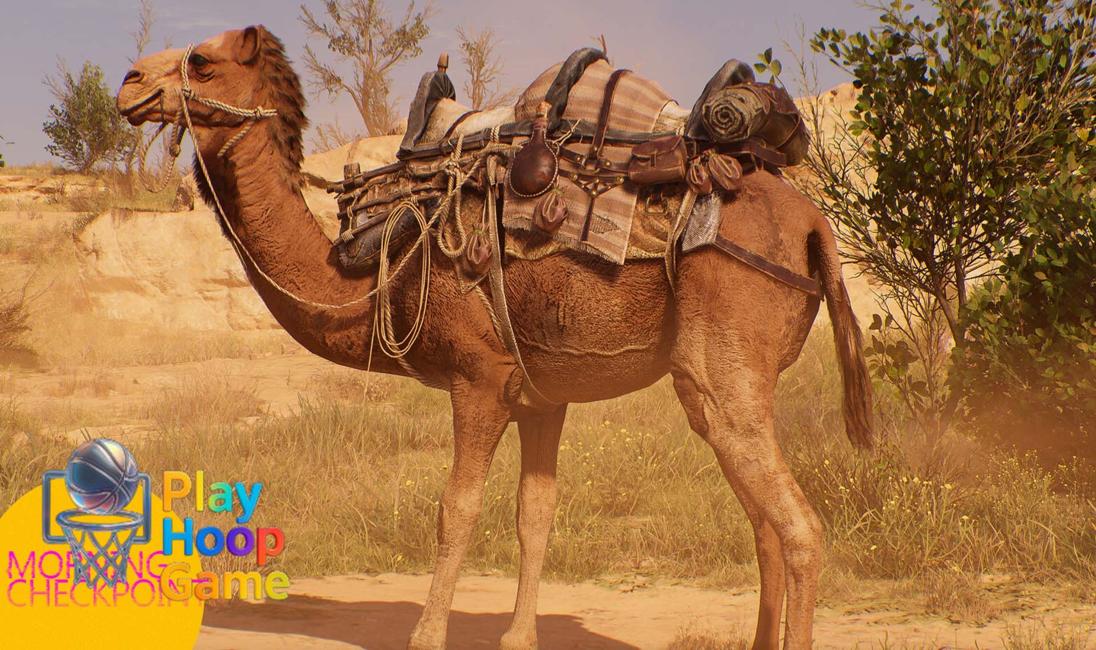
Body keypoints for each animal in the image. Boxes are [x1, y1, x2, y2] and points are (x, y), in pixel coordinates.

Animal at [117, 26, 873, 650]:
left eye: (201, 62)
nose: (130, 82)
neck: (376, 263)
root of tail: (814, 224)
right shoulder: (543, 394)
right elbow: (534, 512)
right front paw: (518, 637)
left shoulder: (477, 377)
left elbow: (456, 510)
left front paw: (426, 637)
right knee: (765, 524)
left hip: (719, 361)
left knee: (799, 528)